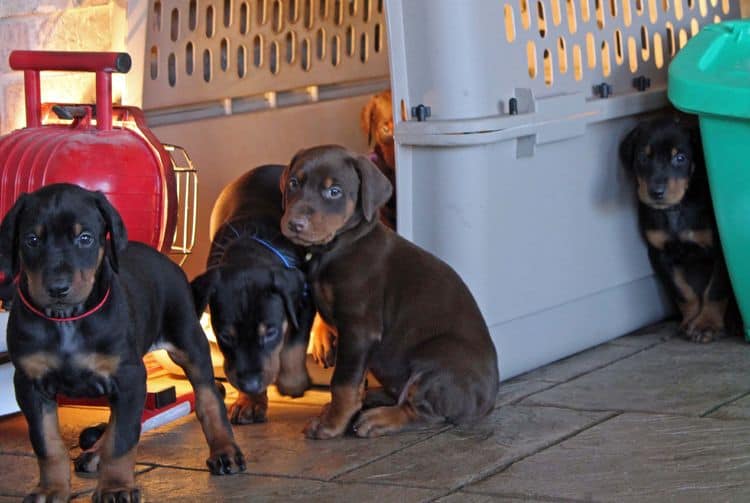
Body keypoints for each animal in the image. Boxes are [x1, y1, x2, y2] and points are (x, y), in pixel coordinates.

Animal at [0, 184, 245, 503]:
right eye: (31, 239)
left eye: (85, 238)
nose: (57, 288)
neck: (67, 320)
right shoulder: (30, 384)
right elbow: (48, 443)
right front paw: (52, 489)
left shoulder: (129, 377)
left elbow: (121, 439)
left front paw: (115, 487)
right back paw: (94, 453)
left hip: (189, 342)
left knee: (209, 397)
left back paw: (225, 451)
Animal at [191, 165, 318, 426]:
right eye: (224, 336)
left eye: (270, 332)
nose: (250, 385)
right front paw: (249, 402)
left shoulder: (304, 296)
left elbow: (294, 343)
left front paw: (293, 383)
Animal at [280, 145, 502, 438]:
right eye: (294, 183)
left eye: (334, 191)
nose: (295, 223)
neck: (337, 246)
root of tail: (488, 401)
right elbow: (352, 380)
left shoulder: (359, 328)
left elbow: (343, 383)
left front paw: (332, 423)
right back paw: (373, 398)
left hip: (438, 358)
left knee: (420, 410)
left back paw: (379, 418)